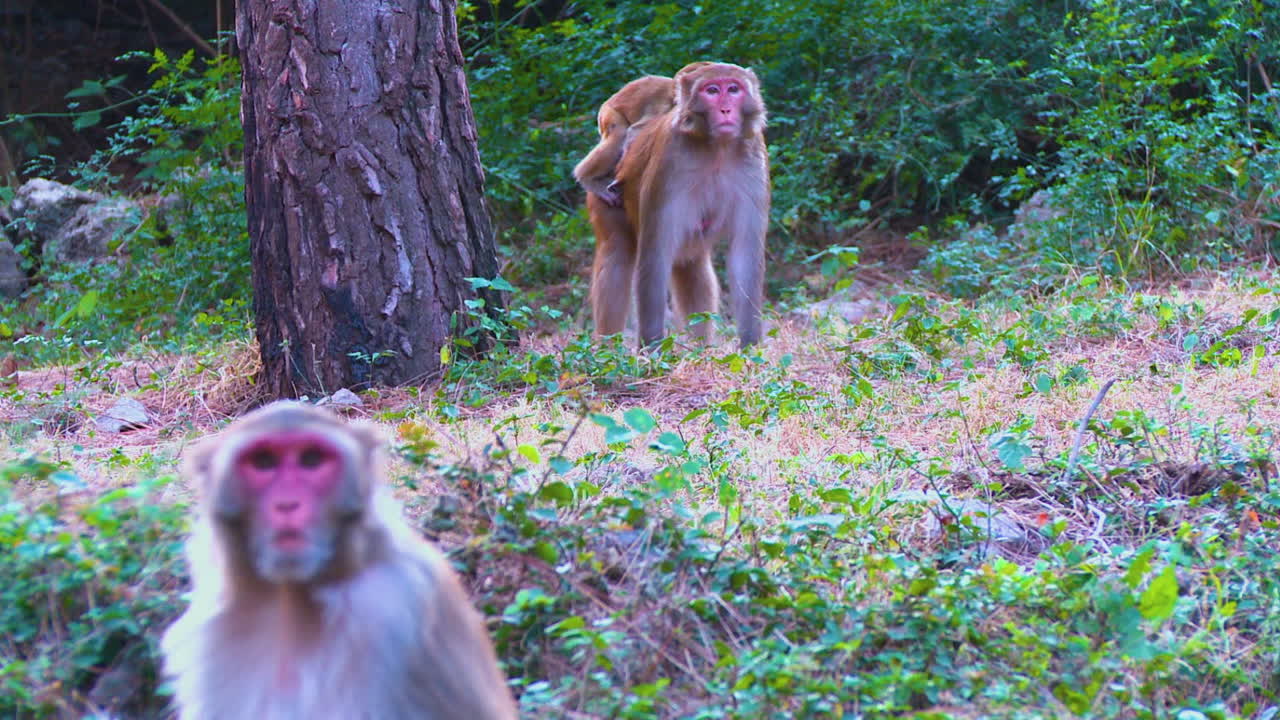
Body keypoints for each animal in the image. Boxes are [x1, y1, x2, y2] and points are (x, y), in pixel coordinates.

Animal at [589, 61, 769, 348]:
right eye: (712, 90)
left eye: (733, 89)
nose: (726, 110)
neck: (718, 149)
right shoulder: (669, 164)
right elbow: (655, 257)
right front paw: (652, 348)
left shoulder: (754, 161)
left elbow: (745, 256)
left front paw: (750, 346)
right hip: (606, 196)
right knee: (616, 256)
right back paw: (607, 348)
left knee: (691, 264)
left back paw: (702, 347)